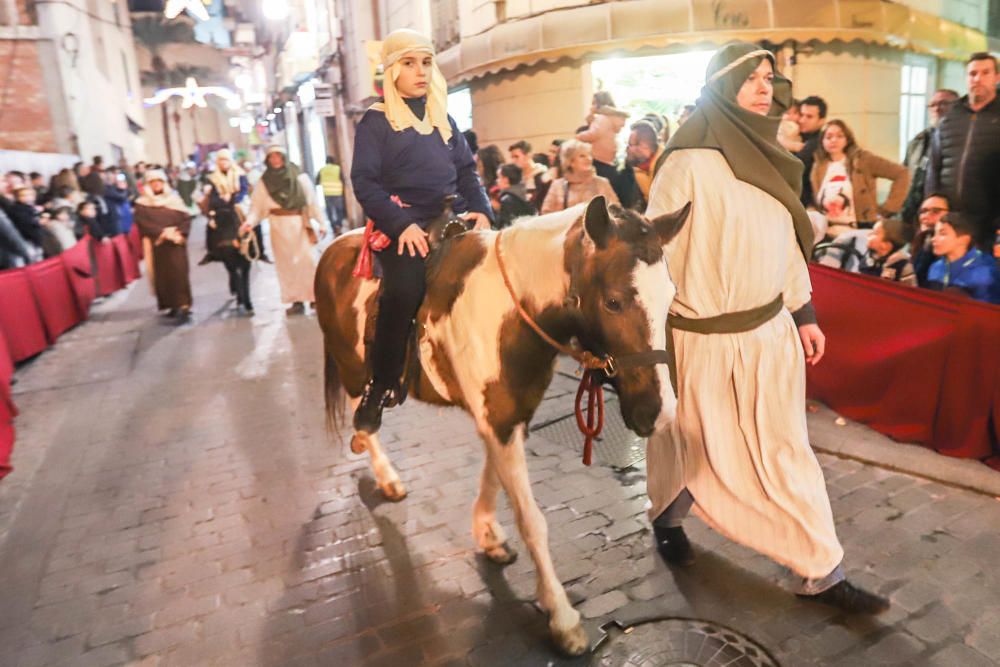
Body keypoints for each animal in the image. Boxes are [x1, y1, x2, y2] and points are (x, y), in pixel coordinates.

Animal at [316, 196, 692, 656]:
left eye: (670, 296)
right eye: (614, 302)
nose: (660, 413)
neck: (515, 312)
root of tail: (333, 250)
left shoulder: (508, 415)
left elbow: (493, 475)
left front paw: (488, 534)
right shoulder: (498, 420)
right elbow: (532, 520)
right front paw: (562, 617)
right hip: (353, 370)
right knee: (364, 415)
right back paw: (385, 471)